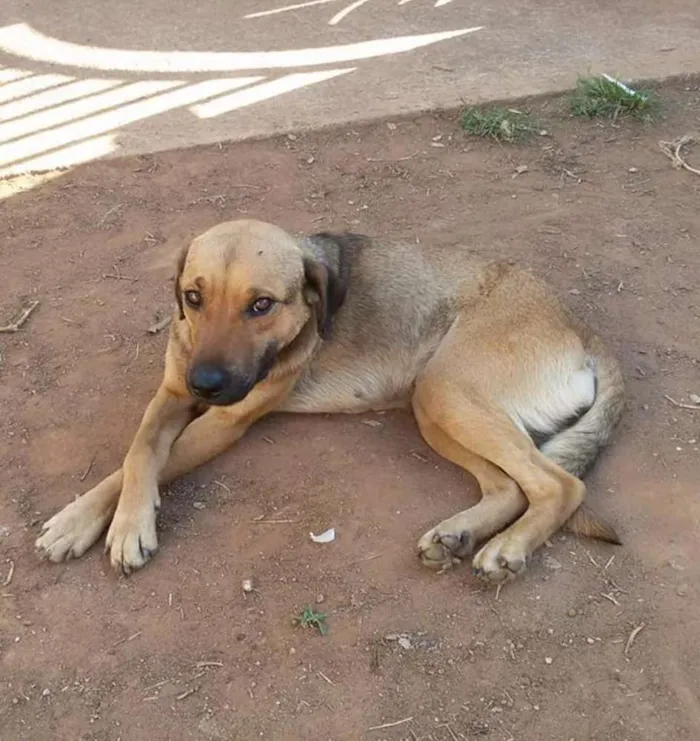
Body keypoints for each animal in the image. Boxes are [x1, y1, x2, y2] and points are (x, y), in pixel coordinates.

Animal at [34, 220, 624, 584]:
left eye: (261, 305)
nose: (206, 383)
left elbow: (150, 461)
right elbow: (138, 454)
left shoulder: (226, 421)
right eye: (192, 297)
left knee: (559, 484)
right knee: (508, 486)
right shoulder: (171, 393)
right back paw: (455, 535)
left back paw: (508, 548)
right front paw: (86, 520)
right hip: (434, 406)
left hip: (449, 390)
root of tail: (582, 329)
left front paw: (122, 527)